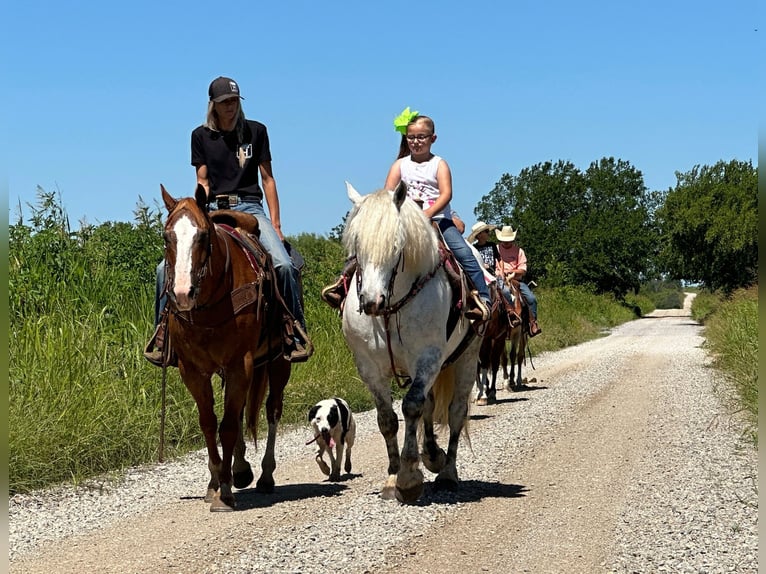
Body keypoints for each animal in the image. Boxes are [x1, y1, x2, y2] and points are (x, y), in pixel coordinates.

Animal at [163, 183, 294, 512]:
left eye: (203, 235)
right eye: (166, 237)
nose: (182, 294)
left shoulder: (240, 364)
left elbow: (229, 426)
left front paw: (225, 491)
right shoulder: (192, 370)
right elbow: (210, 423)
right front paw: (215, 482)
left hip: (278, 363)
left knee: (272, 410)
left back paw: (264, 476)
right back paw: (240, 469)